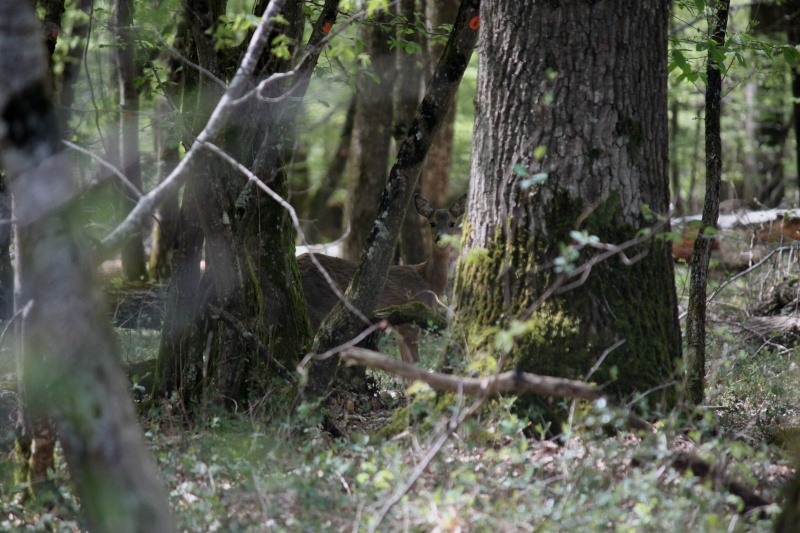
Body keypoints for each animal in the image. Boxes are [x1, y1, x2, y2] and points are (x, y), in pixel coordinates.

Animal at [296, 193, 466, 364]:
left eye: (452, 223)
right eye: (432, 223)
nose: (441, 238)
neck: (429, 281)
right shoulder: (411, 318)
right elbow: (414, 362)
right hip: (317, 309)